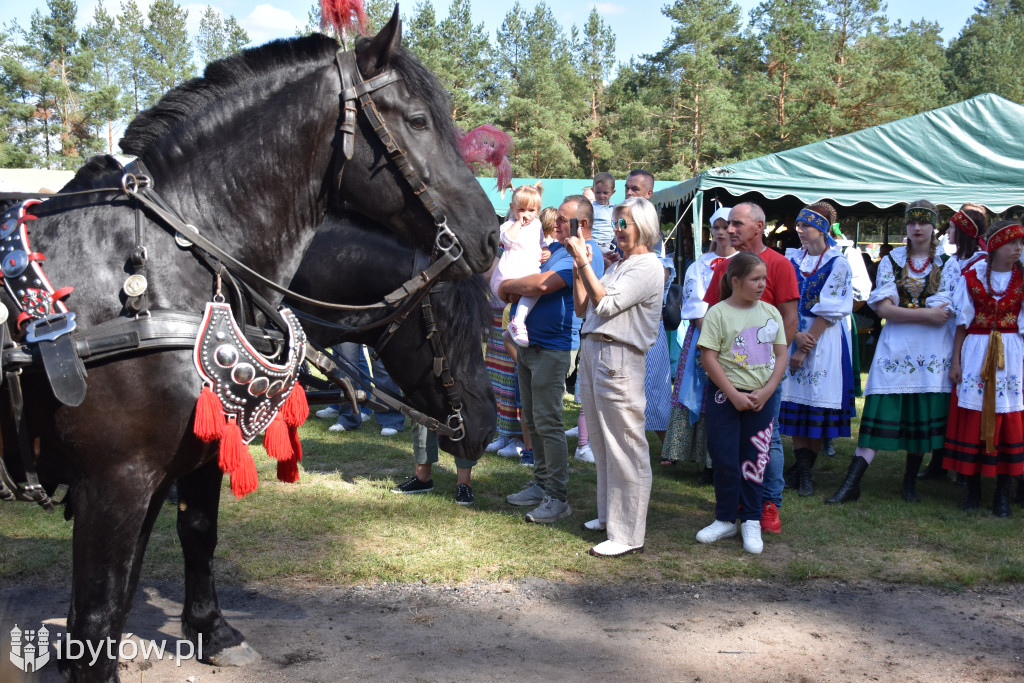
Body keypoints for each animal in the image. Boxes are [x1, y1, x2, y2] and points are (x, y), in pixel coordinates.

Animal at [0, 13, 495, 679]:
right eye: (418, 121)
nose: (489, 235)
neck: (170, 268)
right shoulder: (115, 482)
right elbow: (100, 611)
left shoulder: (184, 459)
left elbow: (186, 541)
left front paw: (211, 630)